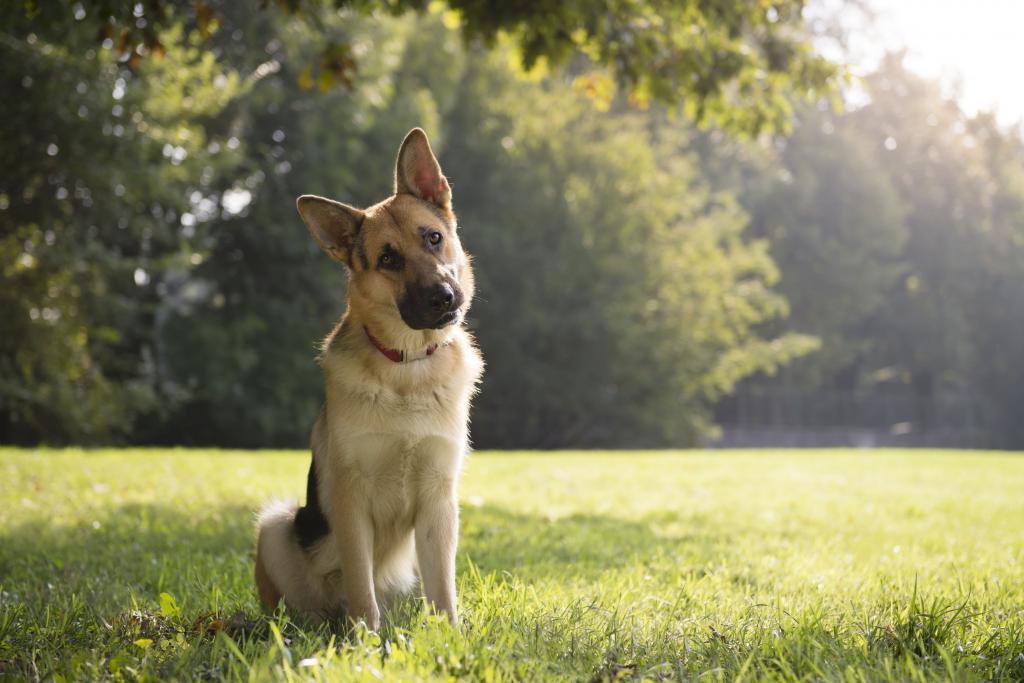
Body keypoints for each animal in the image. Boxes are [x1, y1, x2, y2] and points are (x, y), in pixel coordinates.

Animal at [253, 127, 481, 630]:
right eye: (388, 259)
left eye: (433, 238)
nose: (443, 297)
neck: (406, 367)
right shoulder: (349, 499)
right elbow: (361, 584)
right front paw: (364, 639)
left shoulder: (439, 501)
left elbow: (444, 589)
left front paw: (451, 636)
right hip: (276, 525)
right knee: (297, 605)